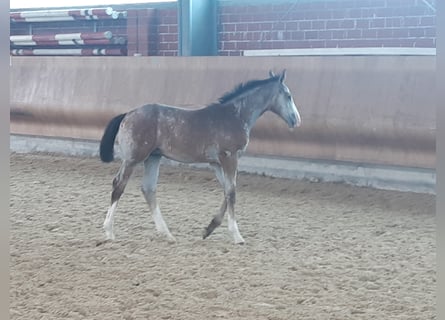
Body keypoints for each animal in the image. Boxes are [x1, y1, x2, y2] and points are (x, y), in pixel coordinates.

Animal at [99, 70, 302, 244]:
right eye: (288, 95)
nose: (296, 120)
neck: (235, 115)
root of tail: (128, 114)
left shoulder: (216, 162)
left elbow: (227, 190)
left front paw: (208, 229)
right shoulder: (229, 157)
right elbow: (232, 192)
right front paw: (237, 236)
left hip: (153, 158)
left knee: (148, 189)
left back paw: (167, 234)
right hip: (133, 158)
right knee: (119, 185)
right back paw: (109, 231)